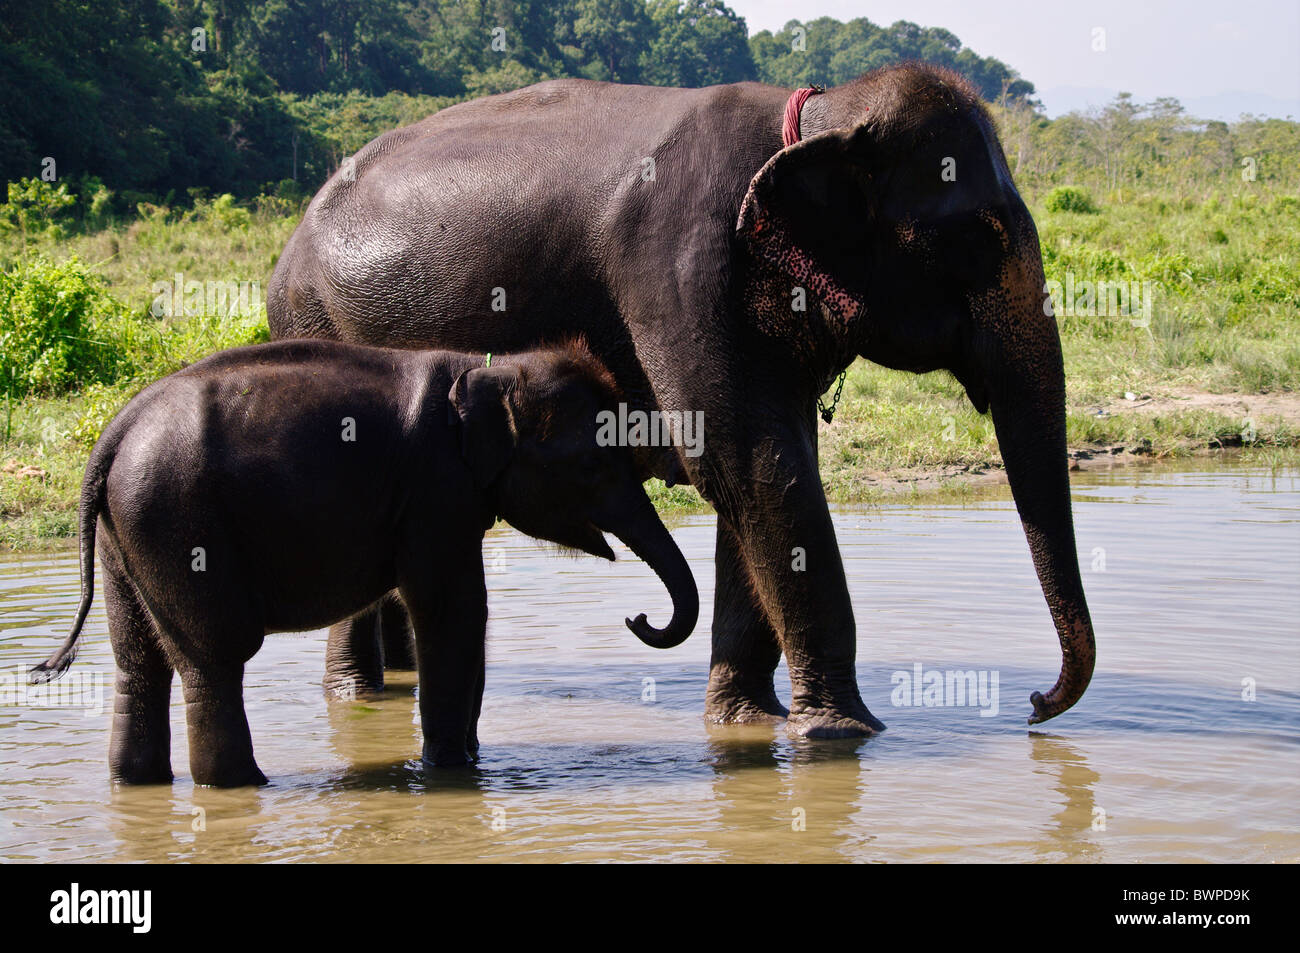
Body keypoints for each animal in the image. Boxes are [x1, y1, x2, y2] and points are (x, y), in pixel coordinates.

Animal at [29, 338, 699, 786]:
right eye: (592, 465)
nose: (638, 617)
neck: (491, 368)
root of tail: (114, 433)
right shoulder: (435, 489)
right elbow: (450, 609)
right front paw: (451, 771)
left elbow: (466, 614)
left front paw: (470, 760)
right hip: (179, 521)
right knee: (214, 657)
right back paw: (241, 785)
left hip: (127, 530)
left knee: (138, 660)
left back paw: (137, 783)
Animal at [266, 62, 1096, 736]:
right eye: (978, 239)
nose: (1034, 705)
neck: (822, 116)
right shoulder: (679, 263)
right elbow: (747, 461)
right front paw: (845, 736)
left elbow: (762, 471)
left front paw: (746, 723)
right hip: (314, 322)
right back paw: (359, 697)